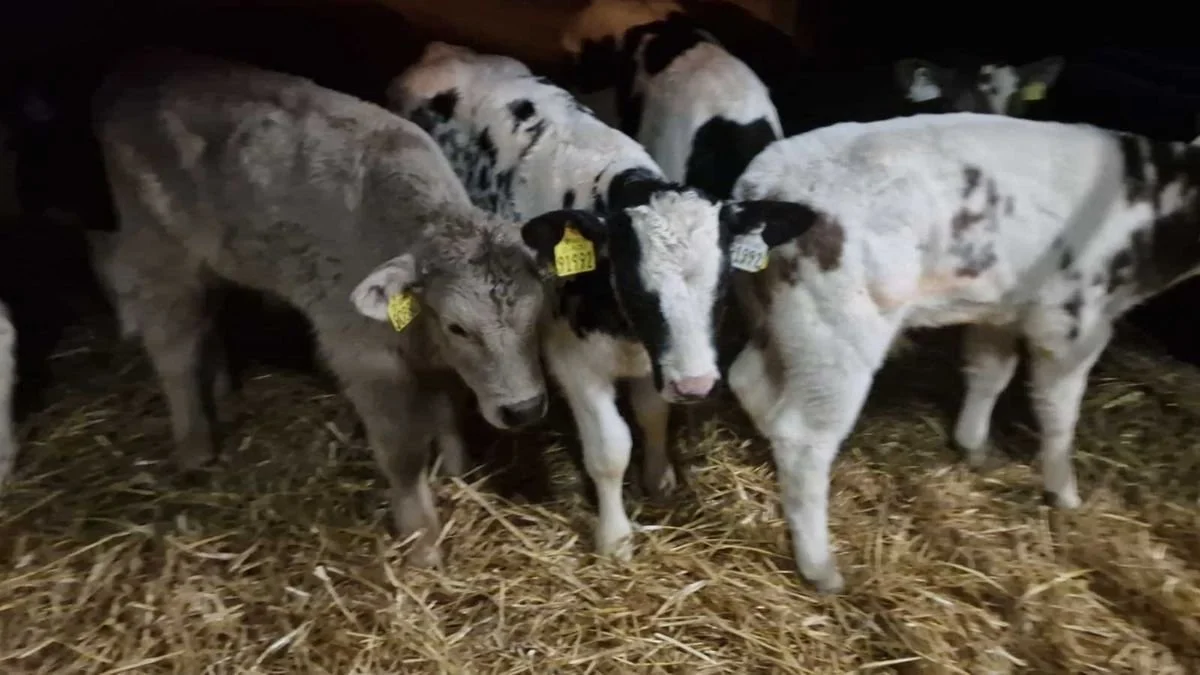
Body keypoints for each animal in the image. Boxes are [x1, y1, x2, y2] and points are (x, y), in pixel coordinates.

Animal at [88, 48, 583, 567]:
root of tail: (138, 69)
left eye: (535, 316)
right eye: (458, 326)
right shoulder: (364, 356)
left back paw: (222, 392)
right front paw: (422, 541)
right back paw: (194, 445)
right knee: (174, 350)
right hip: (159, 252)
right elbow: (403, 452)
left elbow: (447, 409)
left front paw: (457, 470)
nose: (523, 410)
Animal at [386, 41, 816, 561]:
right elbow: (610, 449)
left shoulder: (653, 360)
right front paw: (615, 538)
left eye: (722, 285)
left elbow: (653, 415)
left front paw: (659, 478)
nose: (695, 385)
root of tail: (440, 52)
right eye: (635, 286)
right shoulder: (574, 362)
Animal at [727, 112, 1200, 593]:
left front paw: (973, 446)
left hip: (779, 319)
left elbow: (990, 373)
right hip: (836, 332)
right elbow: (1058, 414)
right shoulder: (1070, 322)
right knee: (805, 437)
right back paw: (820, 566)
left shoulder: (1002, 309)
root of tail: (768, 182)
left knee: (747, 381)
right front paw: (1063, 491)